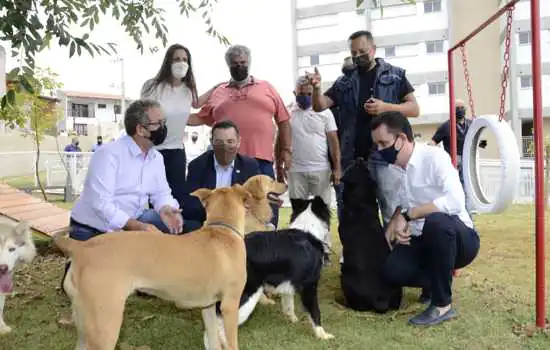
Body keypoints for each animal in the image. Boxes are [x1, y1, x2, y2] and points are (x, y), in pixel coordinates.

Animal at [55, 183, 253, 350]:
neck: (222, 230)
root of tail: (81, 247)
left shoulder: (208, 307)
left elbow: (213, 341)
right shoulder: (230, 306)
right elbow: (231, 343)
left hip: (84, 325)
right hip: (104, 326)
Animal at [206, 196, 334, 346]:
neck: (307, 229)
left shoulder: (289, 281)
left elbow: (289, 303)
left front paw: (292, 319)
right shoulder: (309, 285)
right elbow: (315, 312)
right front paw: (322, 335)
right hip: (245, 295)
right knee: (220, 322)